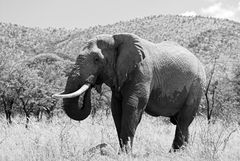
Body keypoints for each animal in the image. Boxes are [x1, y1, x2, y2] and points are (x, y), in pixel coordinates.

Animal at [53, 32, 206, 152]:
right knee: (182, 122)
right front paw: (122, 152)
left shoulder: (142, 71)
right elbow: (116, 109)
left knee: (184, 120)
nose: (92, 82)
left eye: (96, 59)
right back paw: (182, 151)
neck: (115, 38)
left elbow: (132, 106)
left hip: (197, 85)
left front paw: (125, 154)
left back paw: (174, 153)